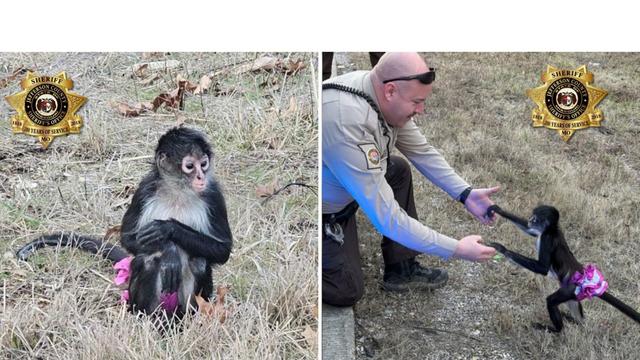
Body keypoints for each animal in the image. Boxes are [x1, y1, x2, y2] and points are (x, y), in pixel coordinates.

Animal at [15, 126, 232, 318]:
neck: (178, 191)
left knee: (200, 262)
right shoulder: (145, 189)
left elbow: (223, 250)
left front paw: (168, 229)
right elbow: (128, 238)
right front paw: (169, 248)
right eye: (190, 166)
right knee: (146, 260)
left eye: (203, 163)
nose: (201, 177)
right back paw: (147, 317)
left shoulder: (213, 194)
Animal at [484, 204, 640, 334]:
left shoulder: (547, 238)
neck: (552, 230)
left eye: (535, 217)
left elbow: (542, 268)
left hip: (570, 289)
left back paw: (556, 330)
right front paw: (498, 210)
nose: (529, 219)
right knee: (573, 306)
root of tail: (586, 277)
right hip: (574, 292)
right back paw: (577, 322)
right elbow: (530, 231)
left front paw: (503, 249)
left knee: (551, 301)